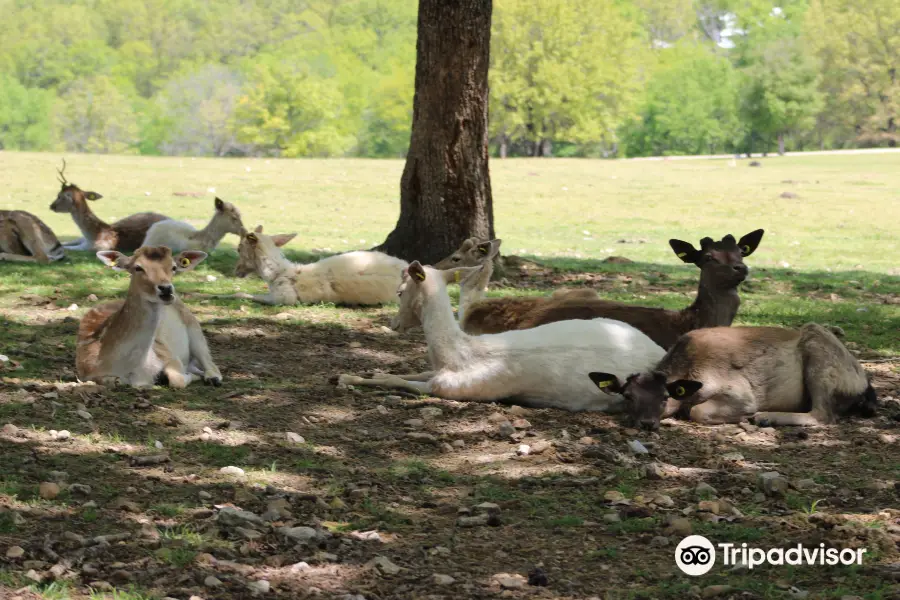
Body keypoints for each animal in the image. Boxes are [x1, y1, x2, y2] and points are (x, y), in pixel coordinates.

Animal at [79, 245, 223, 390]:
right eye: (138, 267)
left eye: (173, 267)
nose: (166, 289)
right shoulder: (86, 372)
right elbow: (116, 381)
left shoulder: (167, 353)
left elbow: (177, 379)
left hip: (193, 327)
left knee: (209, 360)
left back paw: (212, 378)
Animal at [334, 262, 664, 412]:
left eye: (401, 292)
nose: (393, 323)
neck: (457, 355)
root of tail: (659, 350)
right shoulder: (436, 372)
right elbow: (407, 372)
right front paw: (370, 371)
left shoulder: (453, 389)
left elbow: (401, 382)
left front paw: (344, 378)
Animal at [592, 324, 880, 432]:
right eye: (628, 396)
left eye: (665, 397)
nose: (646, 423)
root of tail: (864, 385)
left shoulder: (741, 392)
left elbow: (698, 411)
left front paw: (743, 417)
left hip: (819, 354)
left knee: (823, 414)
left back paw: (764, 417)